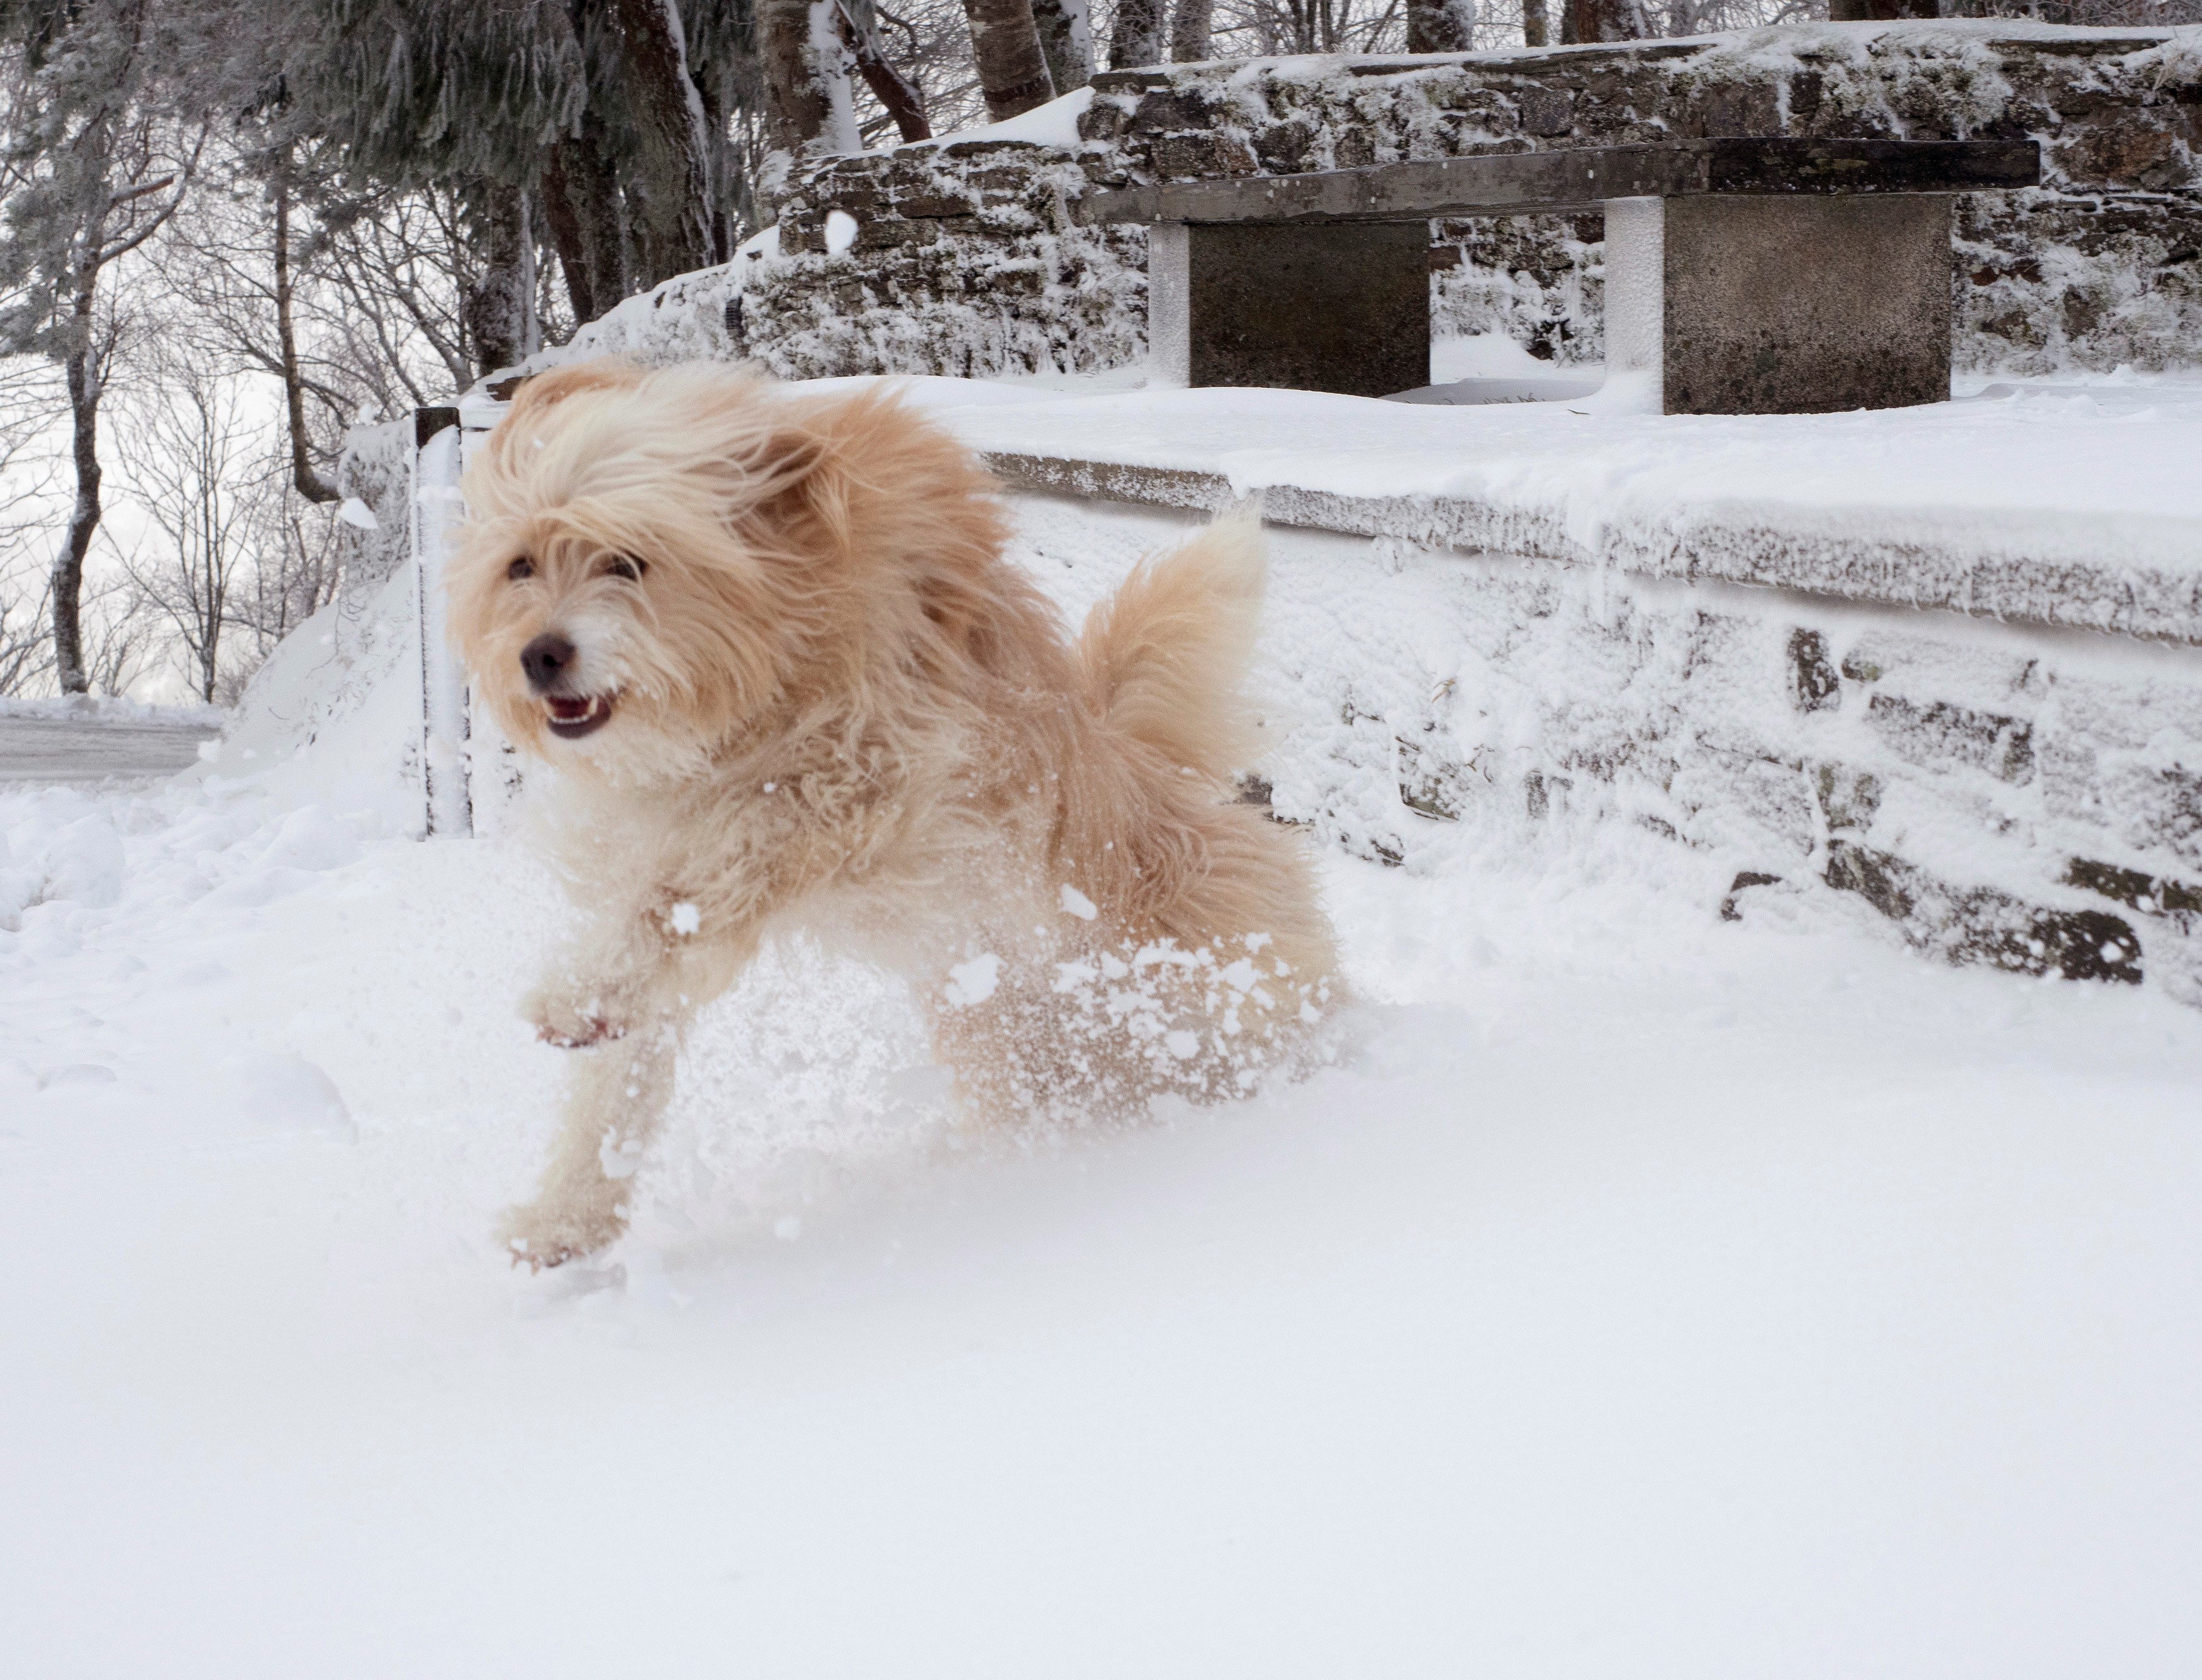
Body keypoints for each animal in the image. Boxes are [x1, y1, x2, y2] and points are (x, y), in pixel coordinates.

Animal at [449, 361, 1339, 1268]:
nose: (539, 654)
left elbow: (692, 883)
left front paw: (579, 991)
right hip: (1018, 1039)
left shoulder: (866, 780)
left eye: (628, 562)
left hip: (1210, 971)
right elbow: (623, 1062)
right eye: (521, 564)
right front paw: (566, 1216)